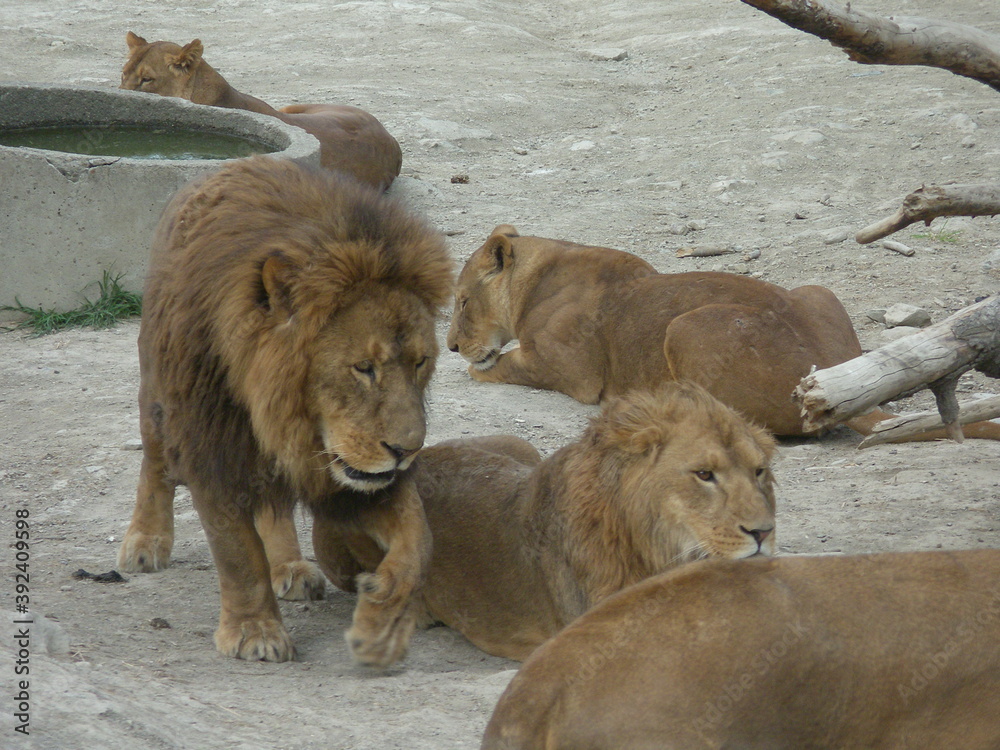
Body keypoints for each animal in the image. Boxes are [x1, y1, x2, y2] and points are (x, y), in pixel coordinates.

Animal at [116, 156, 453, 665]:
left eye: (420, 362)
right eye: (363, 367)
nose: (407, 450)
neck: (288, 418)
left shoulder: (358, 481)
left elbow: (419, 539)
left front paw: (384, 614)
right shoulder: (214, 446)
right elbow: (238, 553)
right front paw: (254, 630)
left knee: (273, 502)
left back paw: (290, 566)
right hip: (158, 388)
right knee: (154, 461)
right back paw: (145, 540)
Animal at [448, 225, 1000, 442]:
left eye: (462, 301)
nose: (451, 345)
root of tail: (835, 383)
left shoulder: (567, 371)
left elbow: (492, 368)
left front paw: (473, 364)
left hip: (685, 324)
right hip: (816, 289)